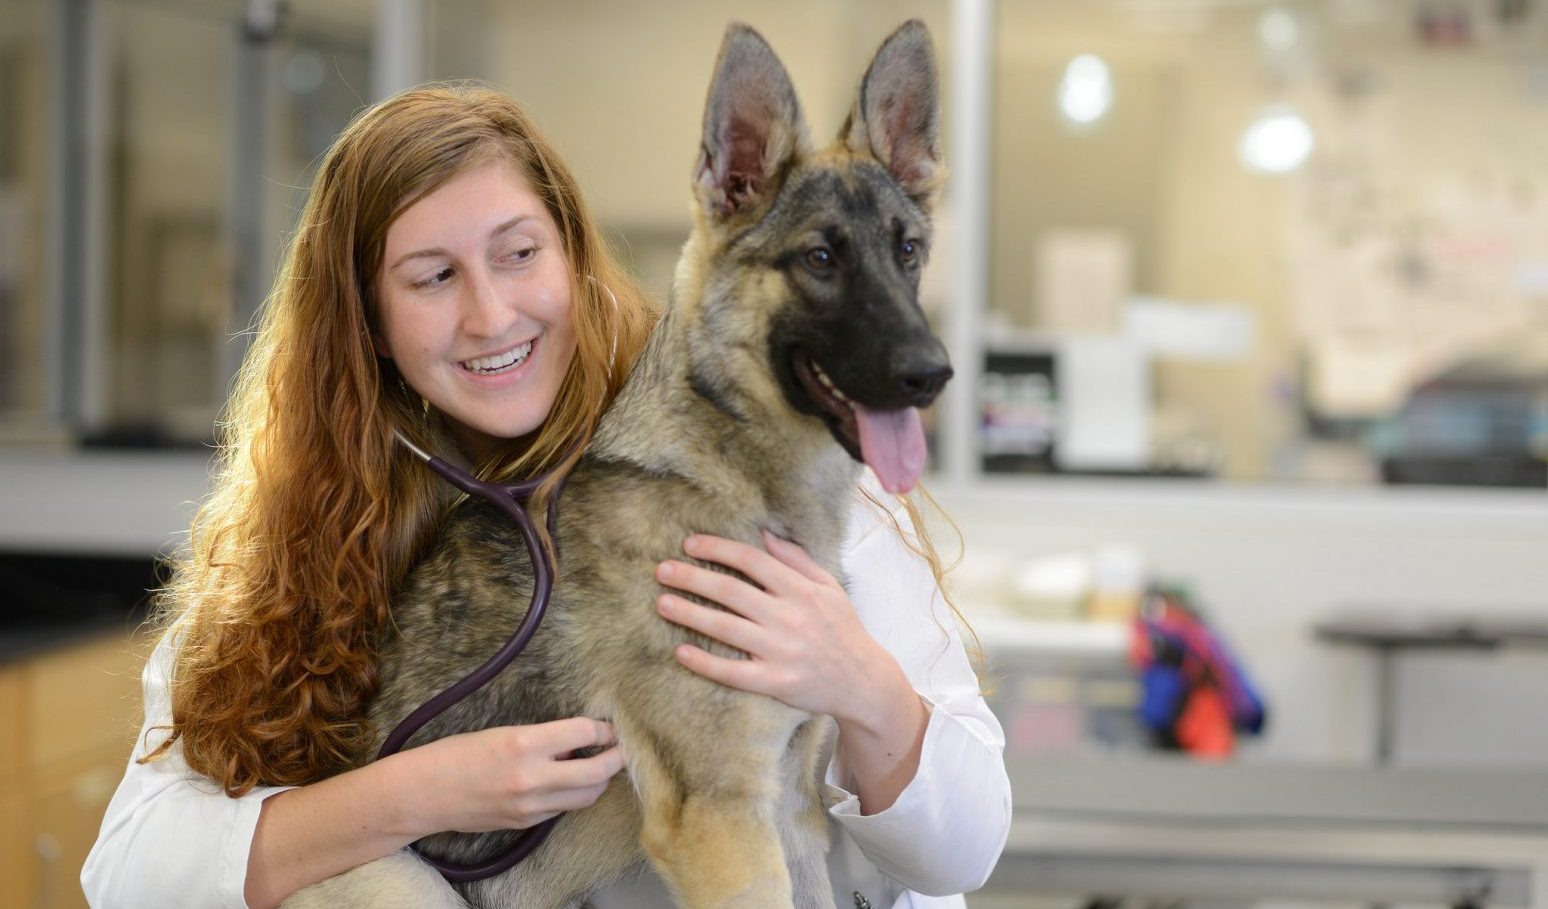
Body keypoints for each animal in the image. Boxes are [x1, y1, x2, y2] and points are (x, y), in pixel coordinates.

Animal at [284, 19, 947, 909]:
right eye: (819, 260)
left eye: (908, 252)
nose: (934, 373)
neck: (727, 479)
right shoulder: (722, 818)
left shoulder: (792, 810)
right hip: (398, 875)